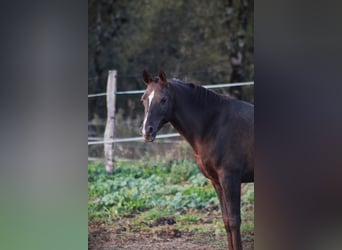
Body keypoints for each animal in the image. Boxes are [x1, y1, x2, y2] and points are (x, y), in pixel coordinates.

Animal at [140, 69, 254, 250]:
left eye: (163, 99)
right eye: (143, 98)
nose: (147, 131)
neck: (214, 125)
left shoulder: (230, 179)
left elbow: (234, 221)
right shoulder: (216, 182)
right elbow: (226, 221)